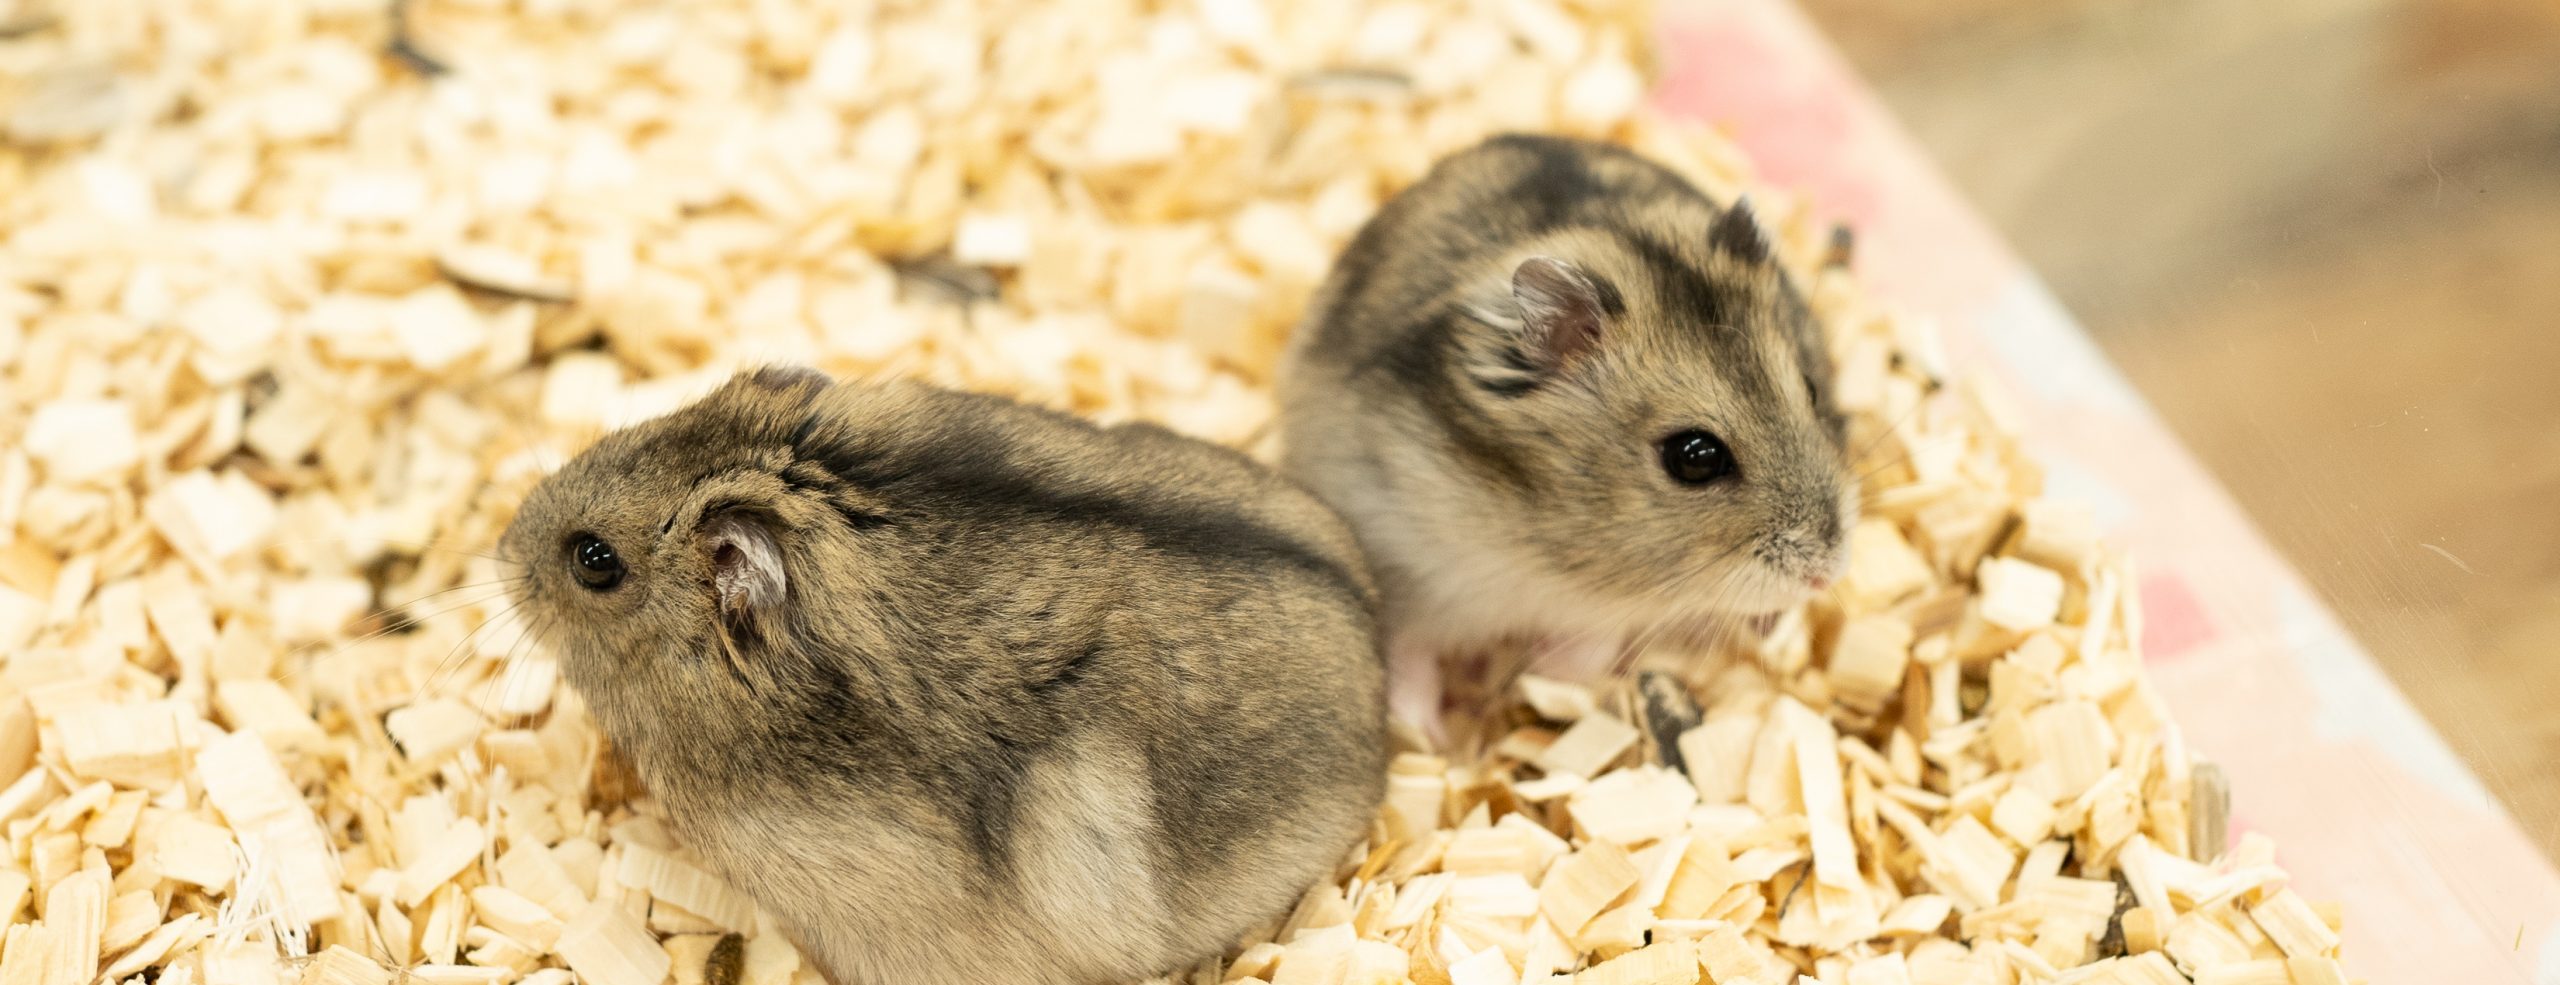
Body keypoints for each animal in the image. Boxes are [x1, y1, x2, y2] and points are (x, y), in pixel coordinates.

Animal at [1269, 130, 1853, 726]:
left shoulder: (1601, 611)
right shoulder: (1405, 561)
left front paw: (1534, 673)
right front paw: (1425, 730)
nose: (1826, 575)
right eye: (1694, 457)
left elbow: (1589, 646)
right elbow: (1408, 655)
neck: (1550, 547)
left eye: (1811, 390)